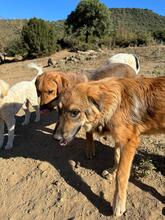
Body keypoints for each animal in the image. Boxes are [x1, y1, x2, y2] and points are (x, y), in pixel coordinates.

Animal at [53, 75, 165, 217]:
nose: (56, 138)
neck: (115, 104)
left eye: (74, 112)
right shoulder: (119, 138)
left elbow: (121, 175)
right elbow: (116, 157)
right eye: (59, 110)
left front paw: (118, 204)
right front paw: (112, 171)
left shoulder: (129, 142)